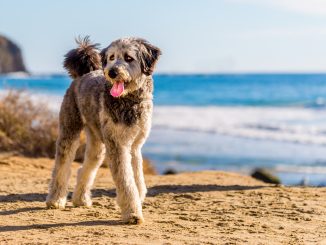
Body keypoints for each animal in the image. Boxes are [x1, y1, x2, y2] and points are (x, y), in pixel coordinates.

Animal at [46, 36, 162, 224]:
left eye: (129, 58)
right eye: (111, 57)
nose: (112, 72)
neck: (129, 101)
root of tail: (83, 74)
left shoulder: (135, 146)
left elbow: (137, 177)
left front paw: (137, 199)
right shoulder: (118, 146)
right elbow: (126, 181)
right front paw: (132, 213)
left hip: (97, 142)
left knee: (85, 168)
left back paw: (80, 199)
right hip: (69, 130)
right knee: (62, 166)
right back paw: (55, 200)